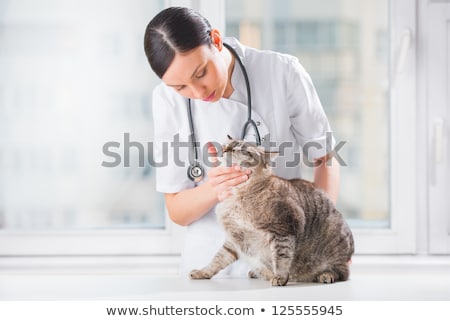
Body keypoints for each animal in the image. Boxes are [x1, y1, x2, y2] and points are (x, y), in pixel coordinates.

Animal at [188, 136, 354, 284]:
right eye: (226, 145)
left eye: (242, 150)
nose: (224, 149)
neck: (236, 194)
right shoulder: (234, 240)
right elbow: (217, 260)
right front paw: (202, 272)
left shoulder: (282, 228)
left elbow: (281, 258)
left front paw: (279, 277)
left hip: (335, 250)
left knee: (343, 273)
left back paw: (326, 275)